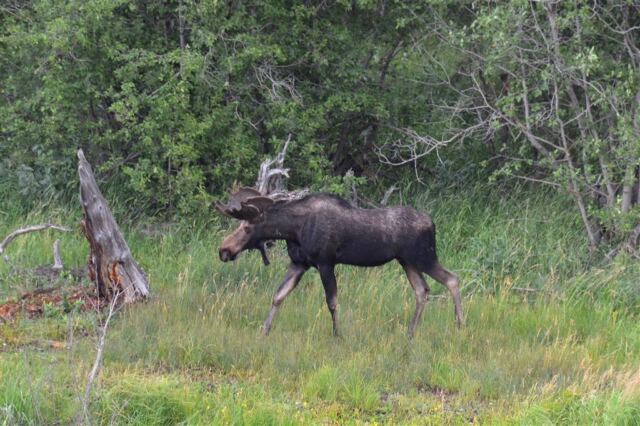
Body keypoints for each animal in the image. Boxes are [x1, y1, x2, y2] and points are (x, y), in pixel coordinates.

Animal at [214, 187, 463, 338]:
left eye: (247, 227)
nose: (223, 250)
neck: (293, 230)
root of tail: (432, 223)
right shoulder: (299, 264)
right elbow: (278, 295)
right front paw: (264, 330)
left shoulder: (326, 262)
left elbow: (332, 302)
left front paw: (338, 335)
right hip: (407, 261)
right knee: (422, 290)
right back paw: (411, 333)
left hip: (423, 257)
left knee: (452, 279)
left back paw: (460, 325)